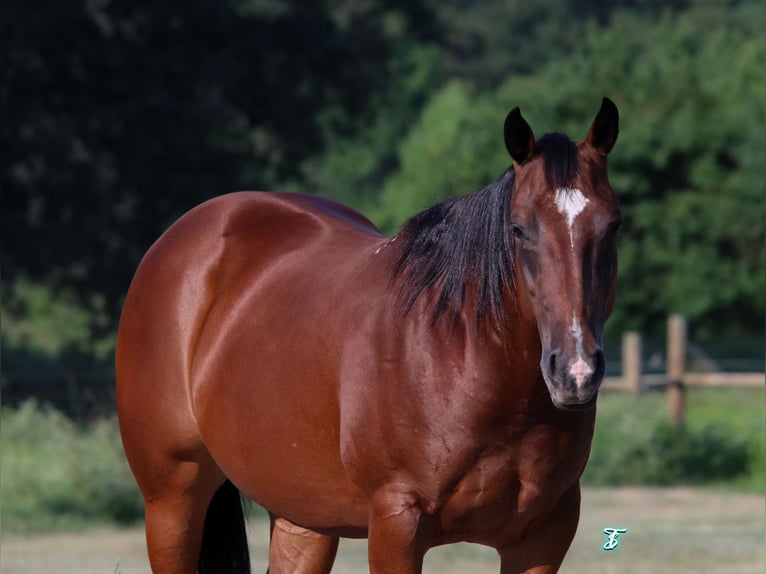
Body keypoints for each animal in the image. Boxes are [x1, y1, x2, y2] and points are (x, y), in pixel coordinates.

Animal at [115, 97, 624, 572]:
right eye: (518, 229)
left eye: (613, 226)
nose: (575, 371)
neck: (463, 361)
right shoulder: (396, 525)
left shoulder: (542, 538)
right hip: (172, 504)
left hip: (304, 519)